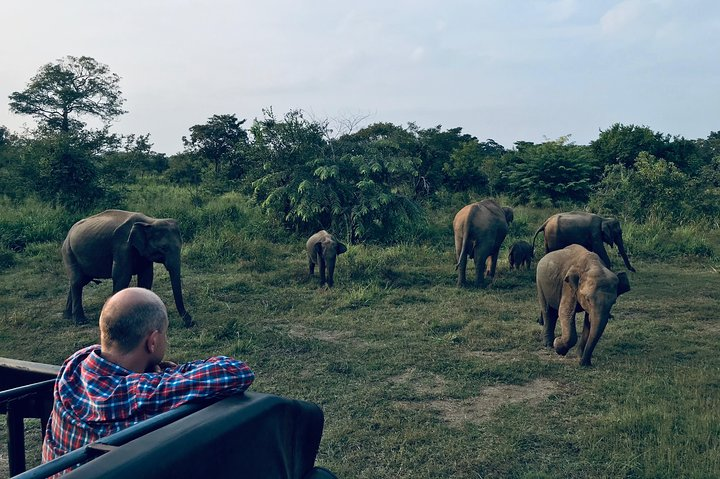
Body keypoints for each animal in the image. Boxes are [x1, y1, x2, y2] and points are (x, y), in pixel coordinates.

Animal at [61, 209, 193, 326]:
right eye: (163, 248)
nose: (190, 321)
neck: (150, 221)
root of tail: (69, 233)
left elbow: (146, 276)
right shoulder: (122, 246)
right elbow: (121, 276)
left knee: (78, 281)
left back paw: (67, 316)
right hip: (68, 251)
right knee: (78, 281)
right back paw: (80, 321)